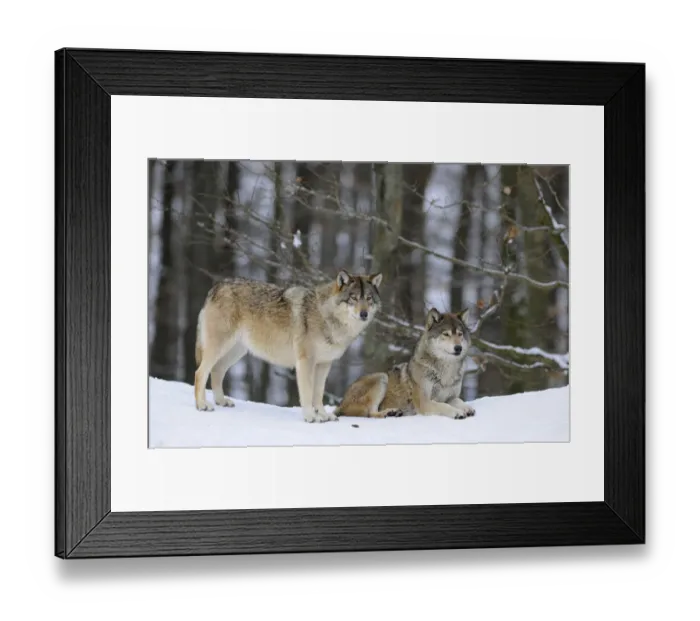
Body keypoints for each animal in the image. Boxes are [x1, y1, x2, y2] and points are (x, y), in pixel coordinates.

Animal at [193, 270, 383, 423]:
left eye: (368, 298)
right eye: (353, 298)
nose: (364, 314)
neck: (326, 317)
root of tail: (217, 286)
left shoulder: (324, 364)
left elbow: (318, 393)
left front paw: (323, 415)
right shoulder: (306, 362)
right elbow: (307, 393)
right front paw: (310, 417)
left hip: (236, 352)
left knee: (217, 370)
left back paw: (221, 401)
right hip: (219, 348)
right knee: (200, 372)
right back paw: (202, 405)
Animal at [334, 307, 476, 420]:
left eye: (460, 334)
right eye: (446, 334)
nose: (458, 348)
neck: (446, 371)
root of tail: (341, 404)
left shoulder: (451, 397)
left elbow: (458, 400)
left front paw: (467, 408)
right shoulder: (425, 402)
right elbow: (443, 405)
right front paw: (457, 412)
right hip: (381, 377)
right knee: (370, 413)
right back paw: (389, 413)